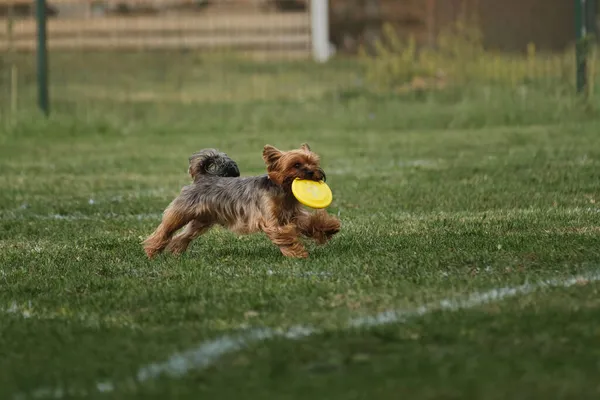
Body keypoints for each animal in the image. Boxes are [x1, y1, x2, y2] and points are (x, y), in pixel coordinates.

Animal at [139, 144, 338, 260]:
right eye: (296, 164)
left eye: (313, 163)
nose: (312, 172)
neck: (284, 191)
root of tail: (202, 177)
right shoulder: (271, 221)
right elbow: (285, 235)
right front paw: (298, 253)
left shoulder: (294, 215)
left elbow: (310, 222)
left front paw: (329, 227)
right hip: (181, 212)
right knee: (164, 231)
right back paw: (151, 252)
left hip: (201, 221)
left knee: (182, 236)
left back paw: (175, 252)